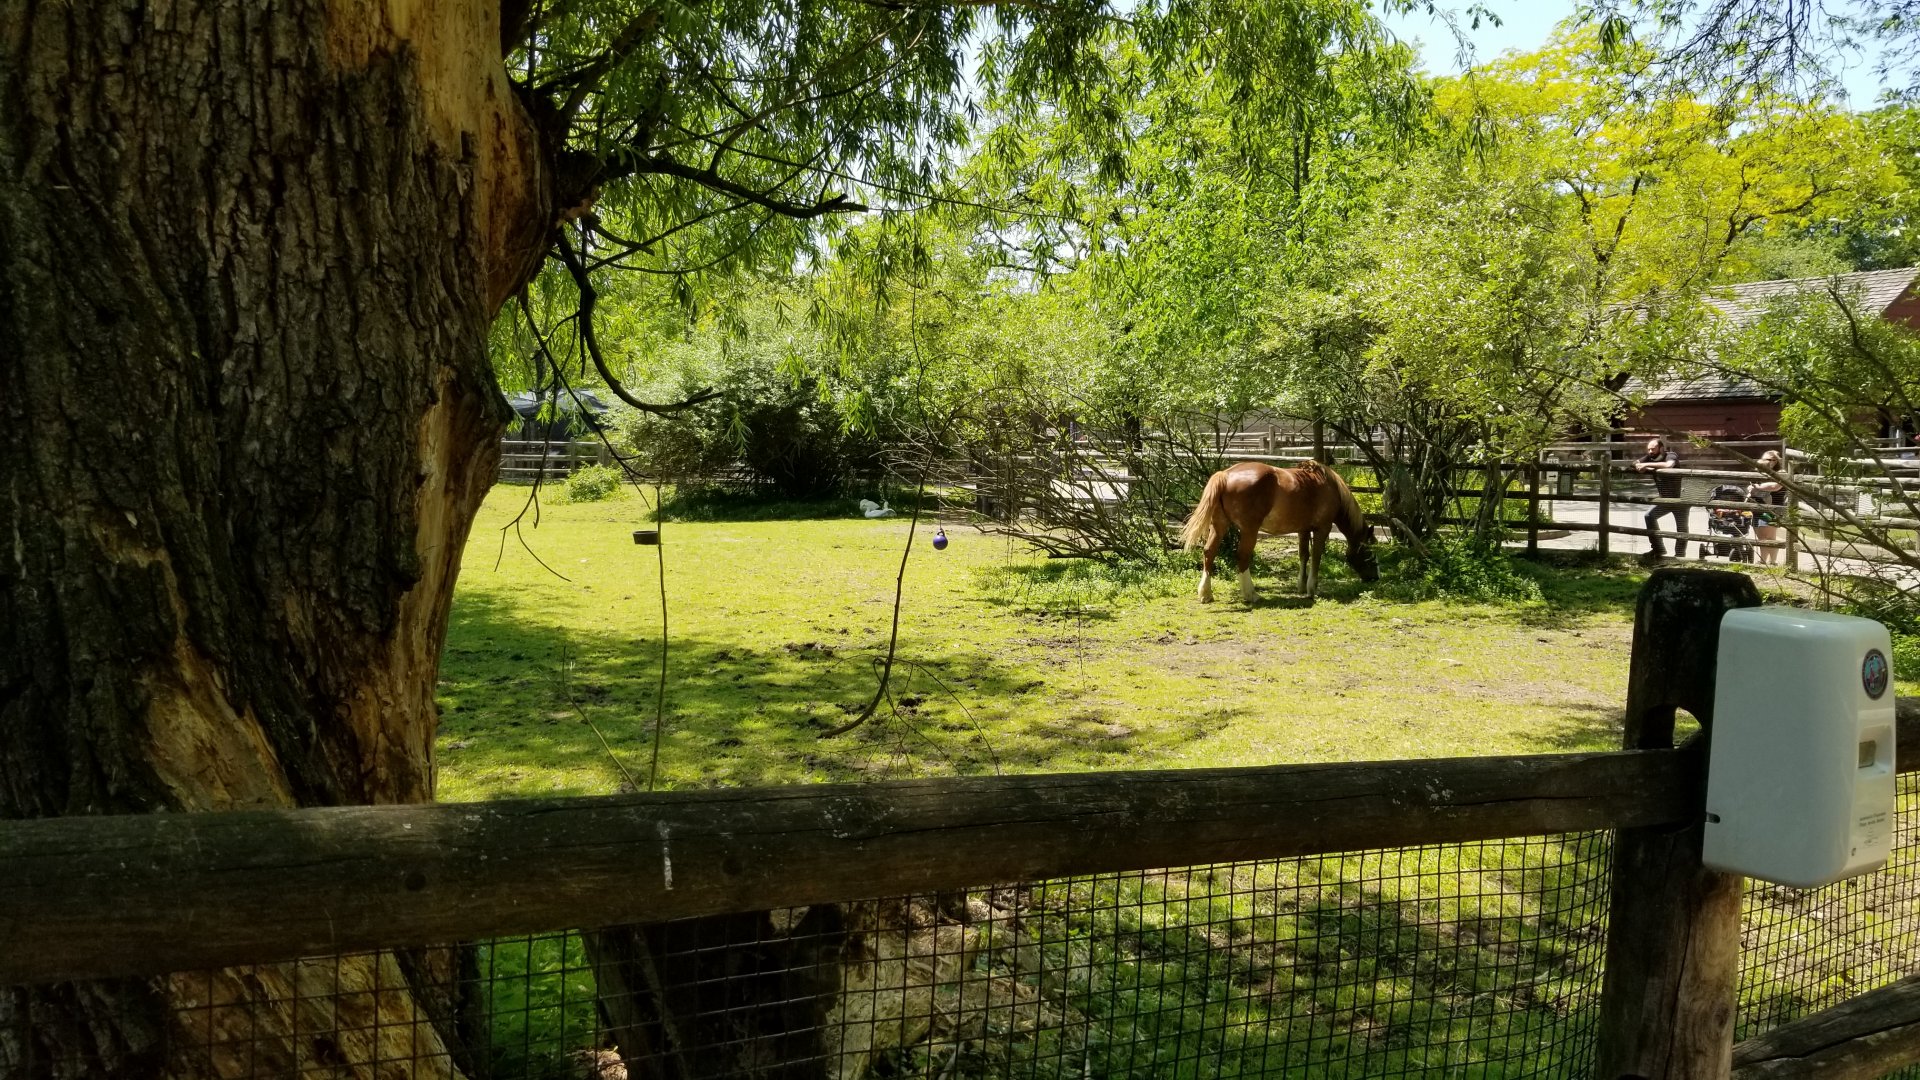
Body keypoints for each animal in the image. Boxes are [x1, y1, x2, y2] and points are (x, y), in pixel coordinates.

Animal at [1178, 460, 1379, 603]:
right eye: (1370, 553)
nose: (1375, 578)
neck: (1327, 486)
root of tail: (1225, 475)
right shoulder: (1322, 529)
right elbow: (1316, 556)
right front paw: (1311, 589)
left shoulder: (1303, 530)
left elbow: (1303, 555)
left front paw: (1301, 586)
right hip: (1249, 530)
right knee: (1242, 556)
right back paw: (1251, 595)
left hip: (1219, 526)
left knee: (1209, 552)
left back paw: (1206, 594)